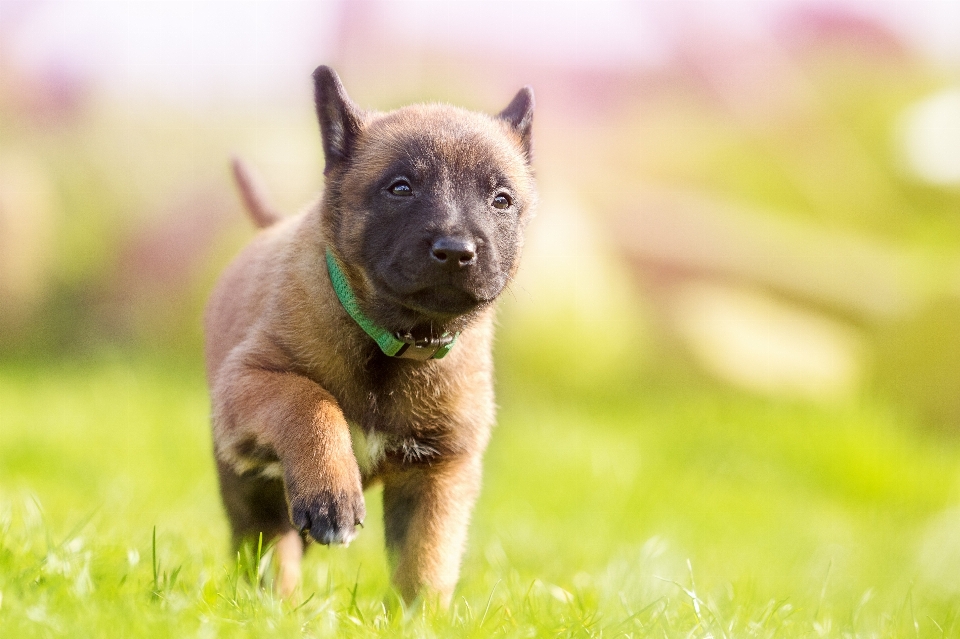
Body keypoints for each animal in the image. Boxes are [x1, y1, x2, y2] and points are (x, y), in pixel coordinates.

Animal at [205, 67, 536, 608]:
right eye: (400, 188)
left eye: (501, 200)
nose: (456, 250)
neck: (394, 340)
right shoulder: (251, 380)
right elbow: (309, 399)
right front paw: (331, 494)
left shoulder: (439, 472)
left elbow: (425, 560)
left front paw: (420, 617)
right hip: (250, 486)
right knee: (268, 543)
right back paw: (275, 603)